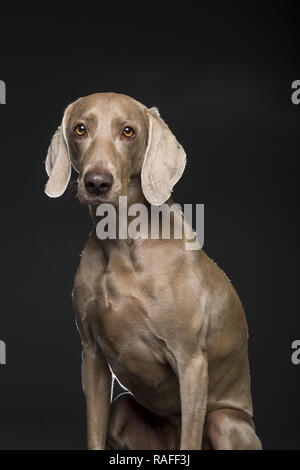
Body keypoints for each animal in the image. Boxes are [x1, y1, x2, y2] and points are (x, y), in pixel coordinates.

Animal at [43, 91, 262, 448]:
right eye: (80, 129)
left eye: (128, 131)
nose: (97, 182)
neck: (121, 242)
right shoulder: (92, 355)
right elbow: (93, 433)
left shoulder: (192, 363)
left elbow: (191, 437)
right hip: (122, 410)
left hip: (226, 422)